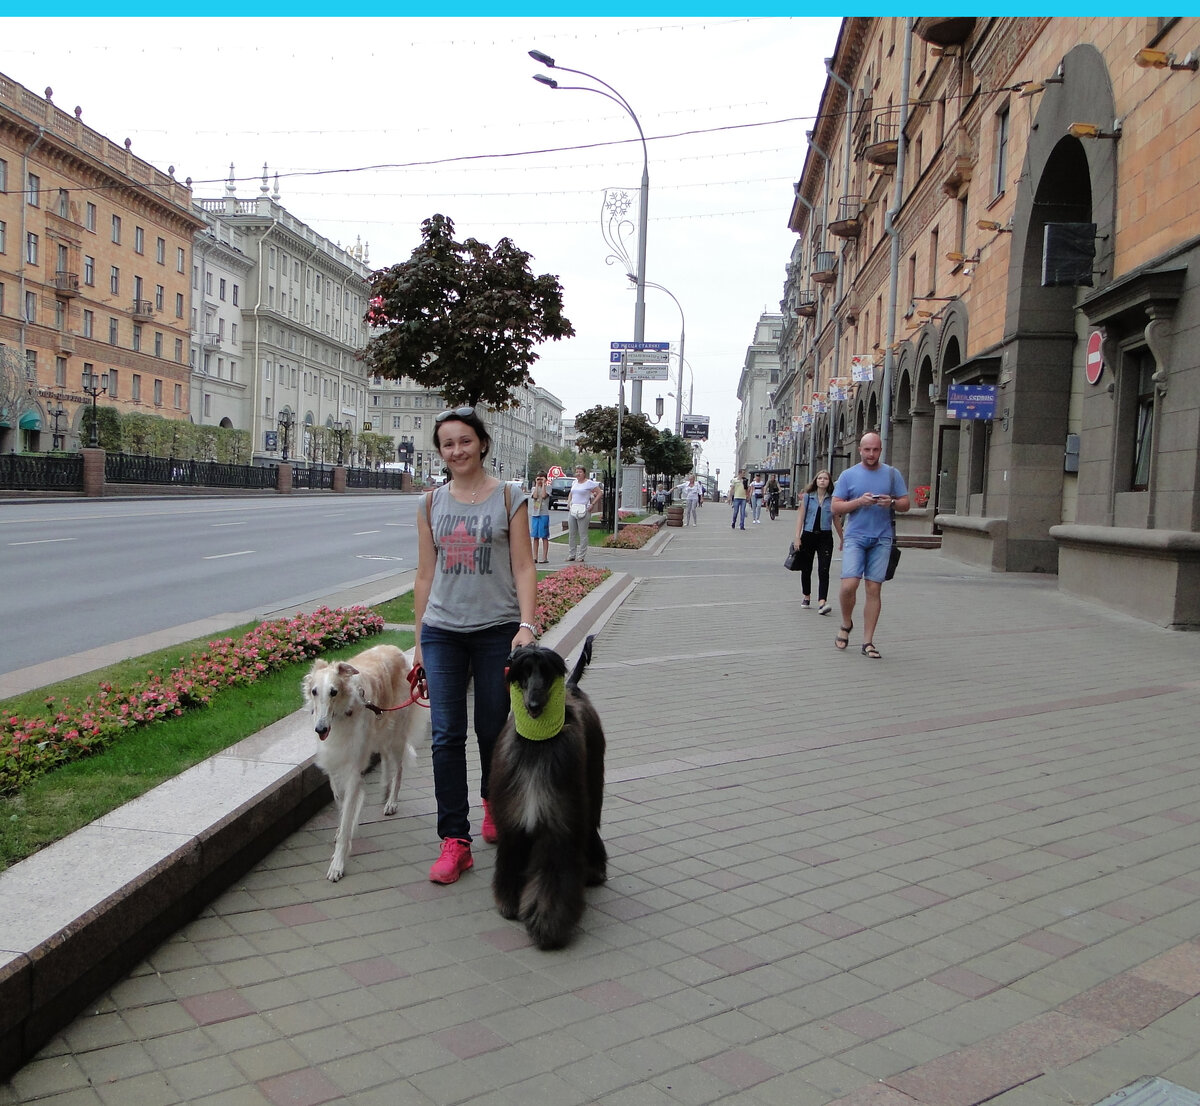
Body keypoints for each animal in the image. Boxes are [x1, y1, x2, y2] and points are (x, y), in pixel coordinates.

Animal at [302, 642, 429, 873]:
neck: (344, 714)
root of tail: (395, 649)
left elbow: (346, 818)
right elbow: (341, 802)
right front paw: (342, 827)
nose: (320, 729)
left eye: (333, 691)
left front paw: (337, 864)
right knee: (386, 759)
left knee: (398, 768)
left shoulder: (353, 768)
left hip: (396, 733)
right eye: (314, 691)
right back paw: (385, 790)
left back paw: (391, 802)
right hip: (381, 729)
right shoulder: (334, 763)